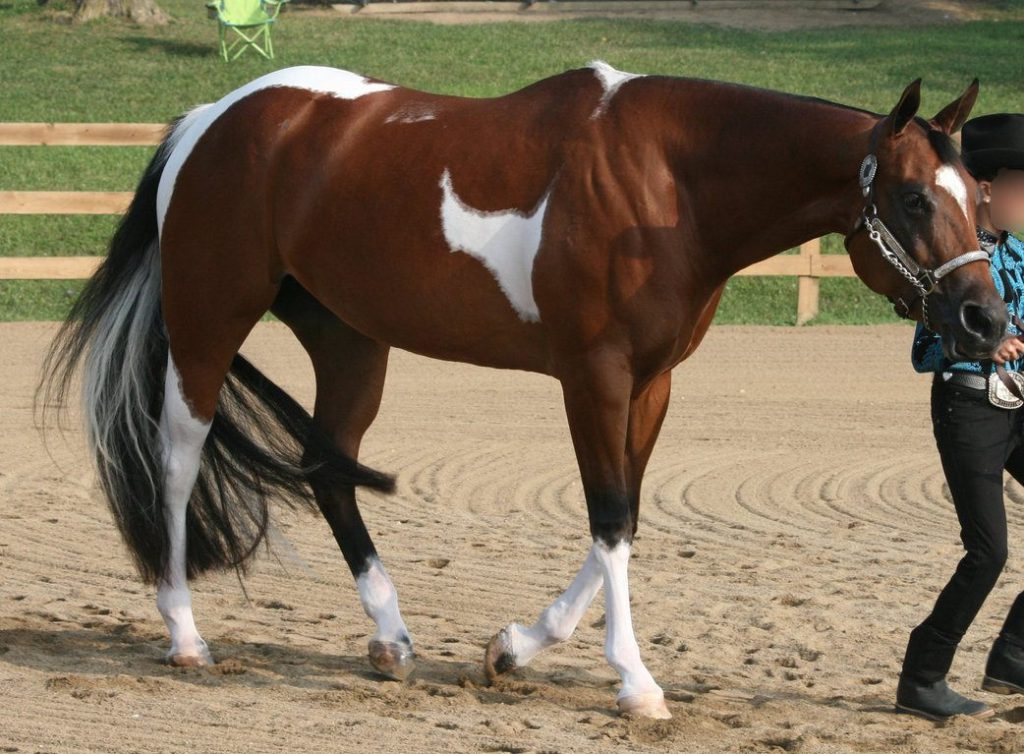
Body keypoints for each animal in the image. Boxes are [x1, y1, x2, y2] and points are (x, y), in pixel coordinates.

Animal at [39, 62, 1003, 720]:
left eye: (976, 196)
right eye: (914, 199)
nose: (986, 320)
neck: (670, 184)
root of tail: (211, 120)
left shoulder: (651, 385)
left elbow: (626, 518)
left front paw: (514, 648)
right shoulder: (594, 376)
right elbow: (609, 518)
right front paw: (636, 682)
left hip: (351, 341)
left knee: (331, 471)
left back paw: (391, 639)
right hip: (210, 322)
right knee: (178, 458)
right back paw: (186, 635)